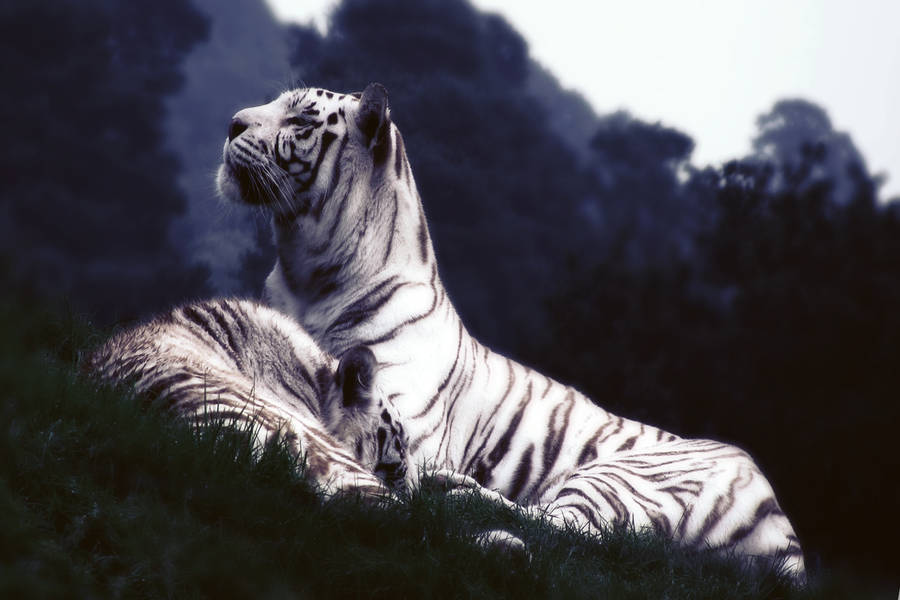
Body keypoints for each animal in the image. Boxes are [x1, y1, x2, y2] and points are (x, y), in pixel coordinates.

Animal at [216, 83, 806, 579]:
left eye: (300, 117)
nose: (231, 122)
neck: (306, 274)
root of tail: (788, 537)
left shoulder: (400, 423)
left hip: (626, 478)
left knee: (571, 529)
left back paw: (455, 493)